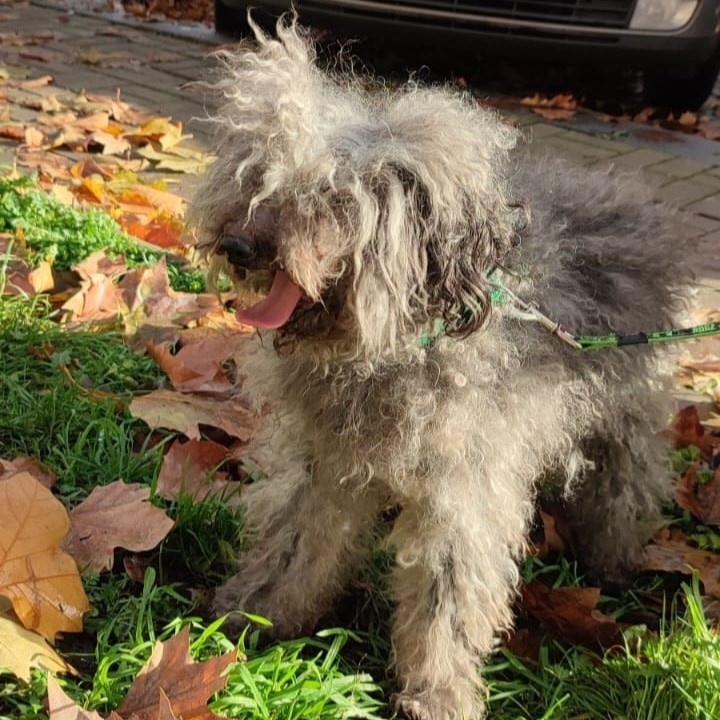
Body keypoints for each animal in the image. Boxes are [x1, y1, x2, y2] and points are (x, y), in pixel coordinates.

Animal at [188, 18, 688, 720]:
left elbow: (445, 602)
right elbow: (297, 542)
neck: (401, 346)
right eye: (258, 174)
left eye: (332, 198)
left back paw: (611, 560)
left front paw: (437, 690)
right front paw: (260, 613)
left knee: (625, 484)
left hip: (625, 421)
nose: (236, 246)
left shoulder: (464, 494)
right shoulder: (326, 466)